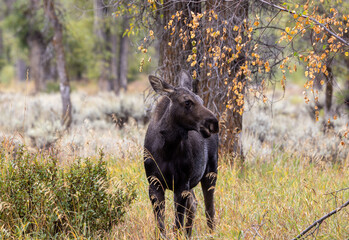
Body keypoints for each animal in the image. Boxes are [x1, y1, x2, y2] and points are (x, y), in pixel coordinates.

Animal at [143, 71, 219, 238]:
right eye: (187, 102)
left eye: (201, 100)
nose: (213, 123)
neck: (168, 148)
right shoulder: (154, 183)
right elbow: (161, 226)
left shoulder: (181, 184)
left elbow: (177, 224)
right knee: (194, 204)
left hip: (210, 172)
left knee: (209, 209)